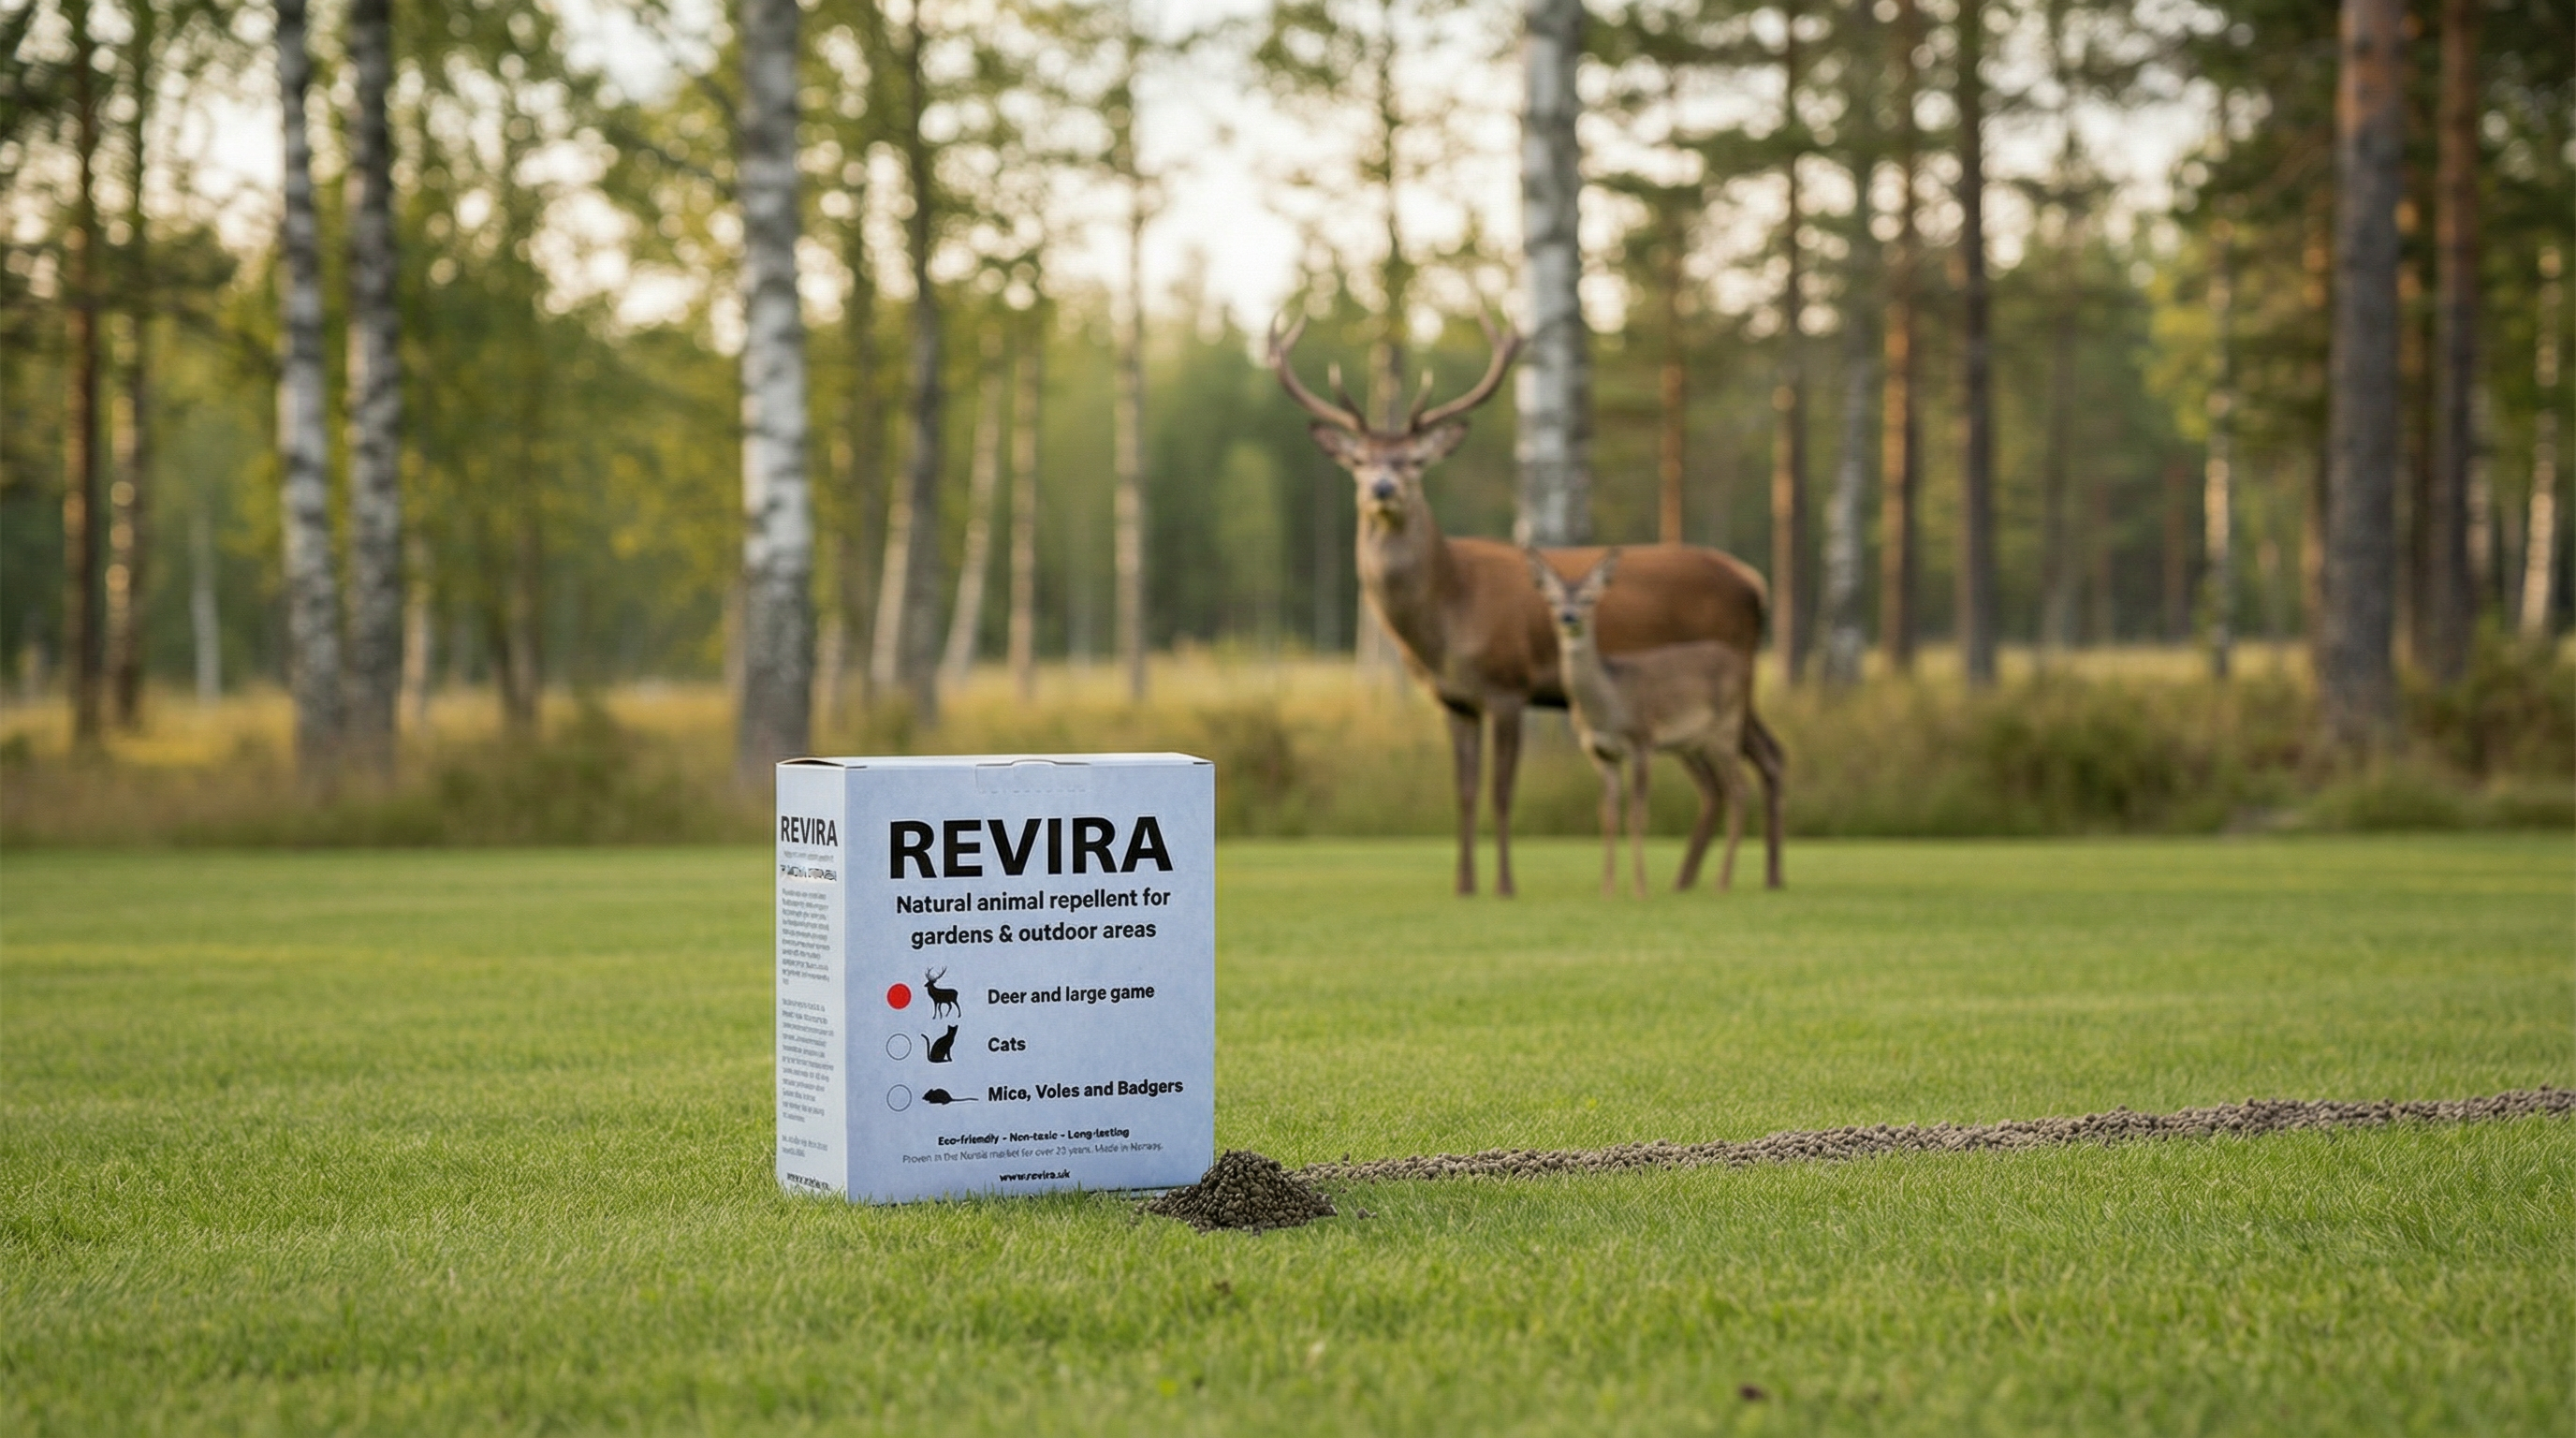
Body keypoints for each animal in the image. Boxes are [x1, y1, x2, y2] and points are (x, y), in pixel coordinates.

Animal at [1528, 550, 1768, 896]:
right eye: (1551, 598)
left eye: (1589, 598)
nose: (1568, 617)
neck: (1608, 703)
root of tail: (1743, 667)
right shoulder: (1601, 753)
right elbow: (1609, 817)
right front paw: (1608, 890)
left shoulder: (1642, 742)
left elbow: (1638, 815)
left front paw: (1640, 888)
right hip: (1695, 743)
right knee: (1724, 788)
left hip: (1726, 728)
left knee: (1740, 788)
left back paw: (1722, 883)